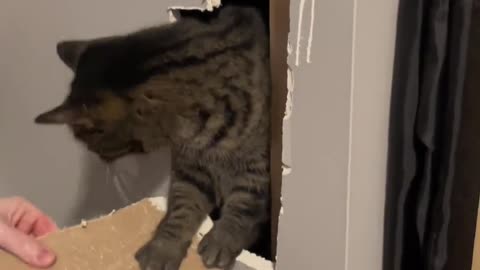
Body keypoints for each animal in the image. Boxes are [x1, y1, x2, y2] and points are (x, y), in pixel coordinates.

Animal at [34, 4, 270, 270]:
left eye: (92, 144)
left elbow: (243, 206)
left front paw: (222, 238)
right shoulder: (189, 171)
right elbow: (181, 211)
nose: (101, 161)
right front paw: (163, 248)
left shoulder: (257, 169)